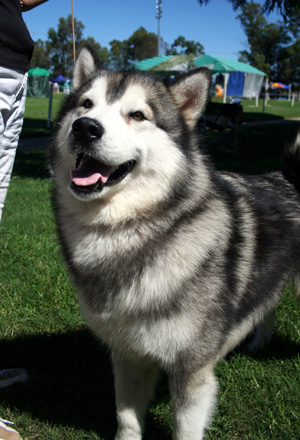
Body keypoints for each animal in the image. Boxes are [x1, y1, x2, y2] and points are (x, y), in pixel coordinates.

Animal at [49, 45, 300, 440]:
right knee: (268, 302)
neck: (126, 232)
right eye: (85, 104)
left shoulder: (191, 369)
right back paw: (260, 340)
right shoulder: (127, 354)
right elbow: (127, 418)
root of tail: (290, 176)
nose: (85, 127)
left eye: (138, 115)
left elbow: (185, 429)